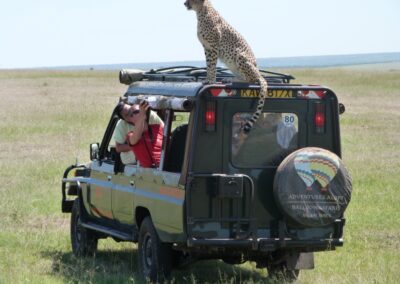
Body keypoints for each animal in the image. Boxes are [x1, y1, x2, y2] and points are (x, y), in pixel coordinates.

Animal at [185, 0, 268, 133]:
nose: (184, 3)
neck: (202, 11)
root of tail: (259, 73)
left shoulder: (213, 46)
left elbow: (212, 65)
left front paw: (210, 80)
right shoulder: (207, 48)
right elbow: (209, 65)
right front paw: (208, 79)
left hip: (239, 55)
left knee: (252, 80)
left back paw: (233, 79)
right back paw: (229, 78)